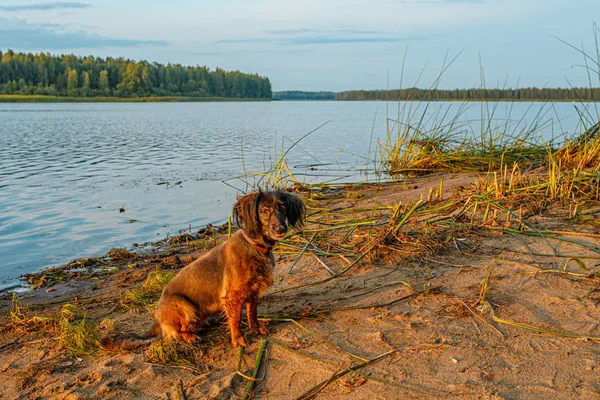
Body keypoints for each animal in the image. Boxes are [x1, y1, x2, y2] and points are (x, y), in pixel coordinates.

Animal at [149, 189, 304, 346]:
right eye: (264, 210)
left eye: (283, 209)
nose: (280, 229)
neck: (255, 247)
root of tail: (158, 318)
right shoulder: (232, 297)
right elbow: (235, 319)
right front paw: (237, 339)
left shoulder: (253, 290)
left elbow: (252, 312)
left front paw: (255, 328)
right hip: (184, 305)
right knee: (176, 332)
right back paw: (189, 336)